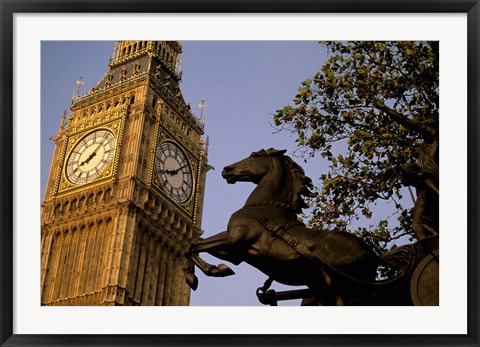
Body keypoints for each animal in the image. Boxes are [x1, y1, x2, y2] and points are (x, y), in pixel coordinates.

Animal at [186, 148, 380, 306]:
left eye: (254, 154)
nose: (227, 169)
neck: (264, 207)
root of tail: (373, 255)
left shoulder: (234, 237)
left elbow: (193, 246)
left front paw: (211, 271)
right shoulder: (236, 253)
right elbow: (196, 244)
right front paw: (201, 272)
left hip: (339, 286)